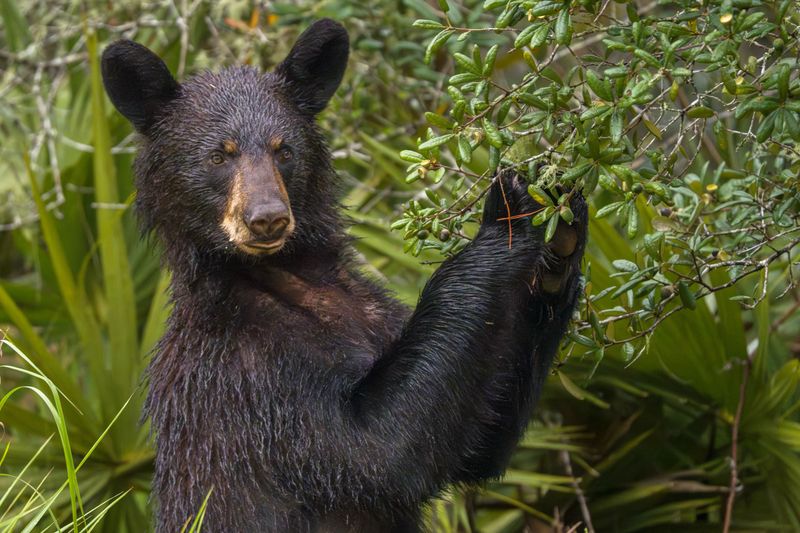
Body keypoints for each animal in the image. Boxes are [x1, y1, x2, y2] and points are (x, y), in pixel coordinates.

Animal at [101, 18, 587, 533]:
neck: (286, 276)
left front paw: (561, 234)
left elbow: (479, 442)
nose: (267, 218)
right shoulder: (249, 373)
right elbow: (378, 450)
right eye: (219, 155)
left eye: (284, 150)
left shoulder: (373, 310)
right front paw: (509, 212)